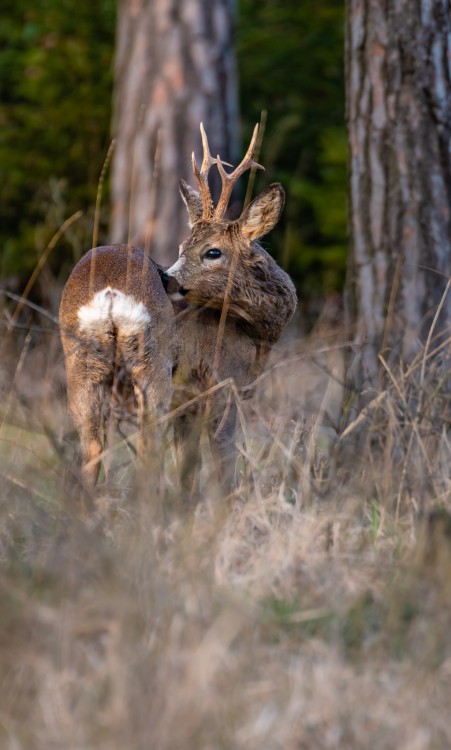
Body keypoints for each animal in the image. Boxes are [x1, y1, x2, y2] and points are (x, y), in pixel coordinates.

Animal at [162, 126, 296, 496]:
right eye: (182, 246)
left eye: (213, 252)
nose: (165, 276)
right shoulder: (222, 385)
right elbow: (224, 463)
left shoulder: (189, 404)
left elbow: (187, 471)